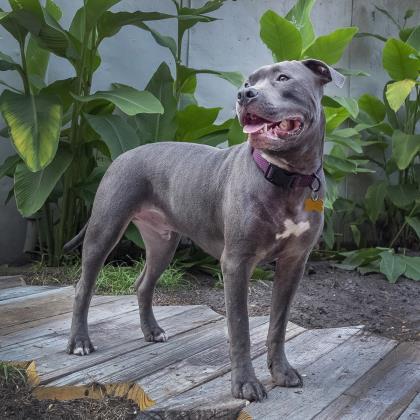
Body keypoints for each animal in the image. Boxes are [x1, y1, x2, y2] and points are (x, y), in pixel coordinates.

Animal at [65, 60, 344, 404]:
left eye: (283, 78)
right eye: (248, 82)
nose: (244, 94)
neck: (287, 176)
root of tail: (123, 154)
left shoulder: (294, 262)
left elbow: (278, 324)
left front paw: (281, 372)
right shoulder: (236, 263)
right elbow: (240, 327)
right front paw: (245, 384)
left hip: (162, 243)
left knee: (143, 284)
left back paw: (152, 331)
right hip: (105, 229)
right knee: (84, 286)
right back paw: (80, 342)